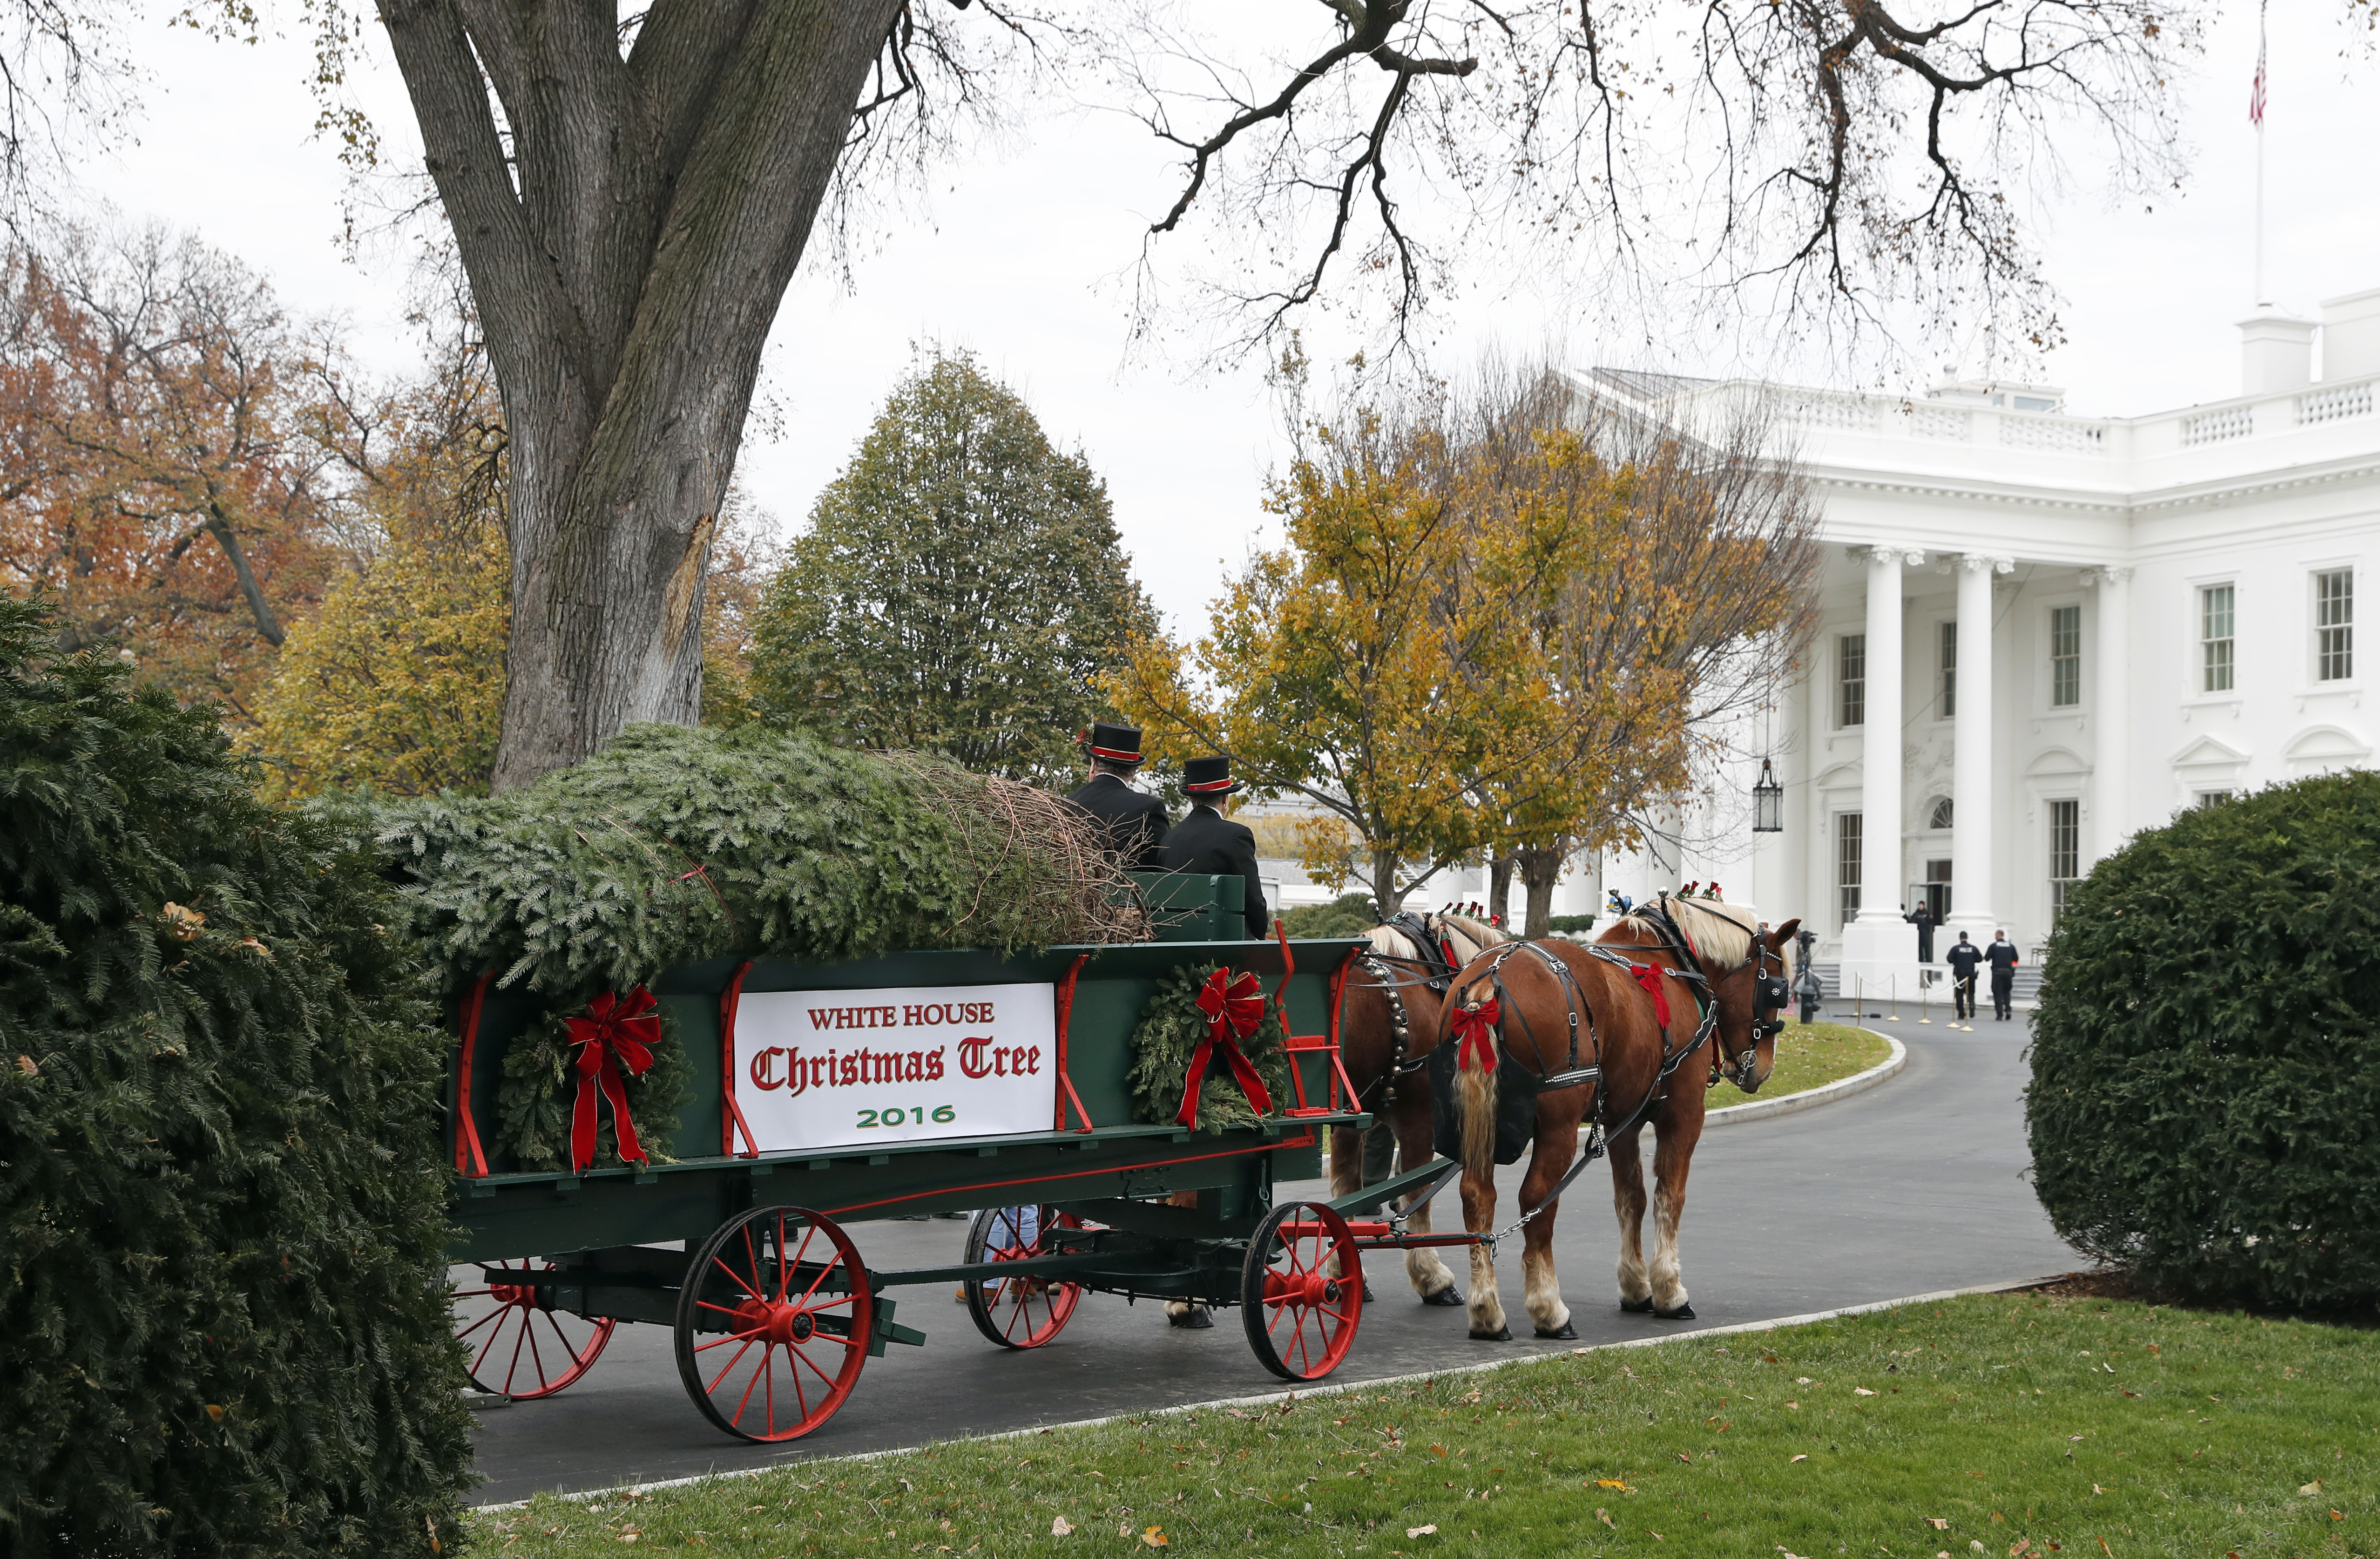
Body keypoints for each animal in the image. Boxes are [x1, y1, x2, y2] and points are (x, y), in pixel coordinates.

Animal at [1323, 909, 1504, 1314]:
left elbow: (1346, 1189)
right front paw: (1433, 1278)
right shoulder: (1419, 1119)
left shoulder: (1350, 1122)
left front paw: (1345, 1275)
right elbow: (1417, 1194)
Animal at [1409, 895, 1799, 1352]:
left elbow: (1631, 1198)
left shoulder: (1622, 1120)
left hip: (1478, 1126)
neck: (1676, 964)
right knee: (1537, 1201)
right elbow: (1670, 1197)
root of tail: (1488, 984)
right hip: (1557, 1126)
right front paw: (1669, 1291)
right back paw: (1549, 1309)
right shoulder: (1684, 1113)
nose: (1763, 1070)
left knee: (1477, 1197)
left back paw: (1486, 1311)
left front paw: (1636, 1287)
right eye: (1776, 989)